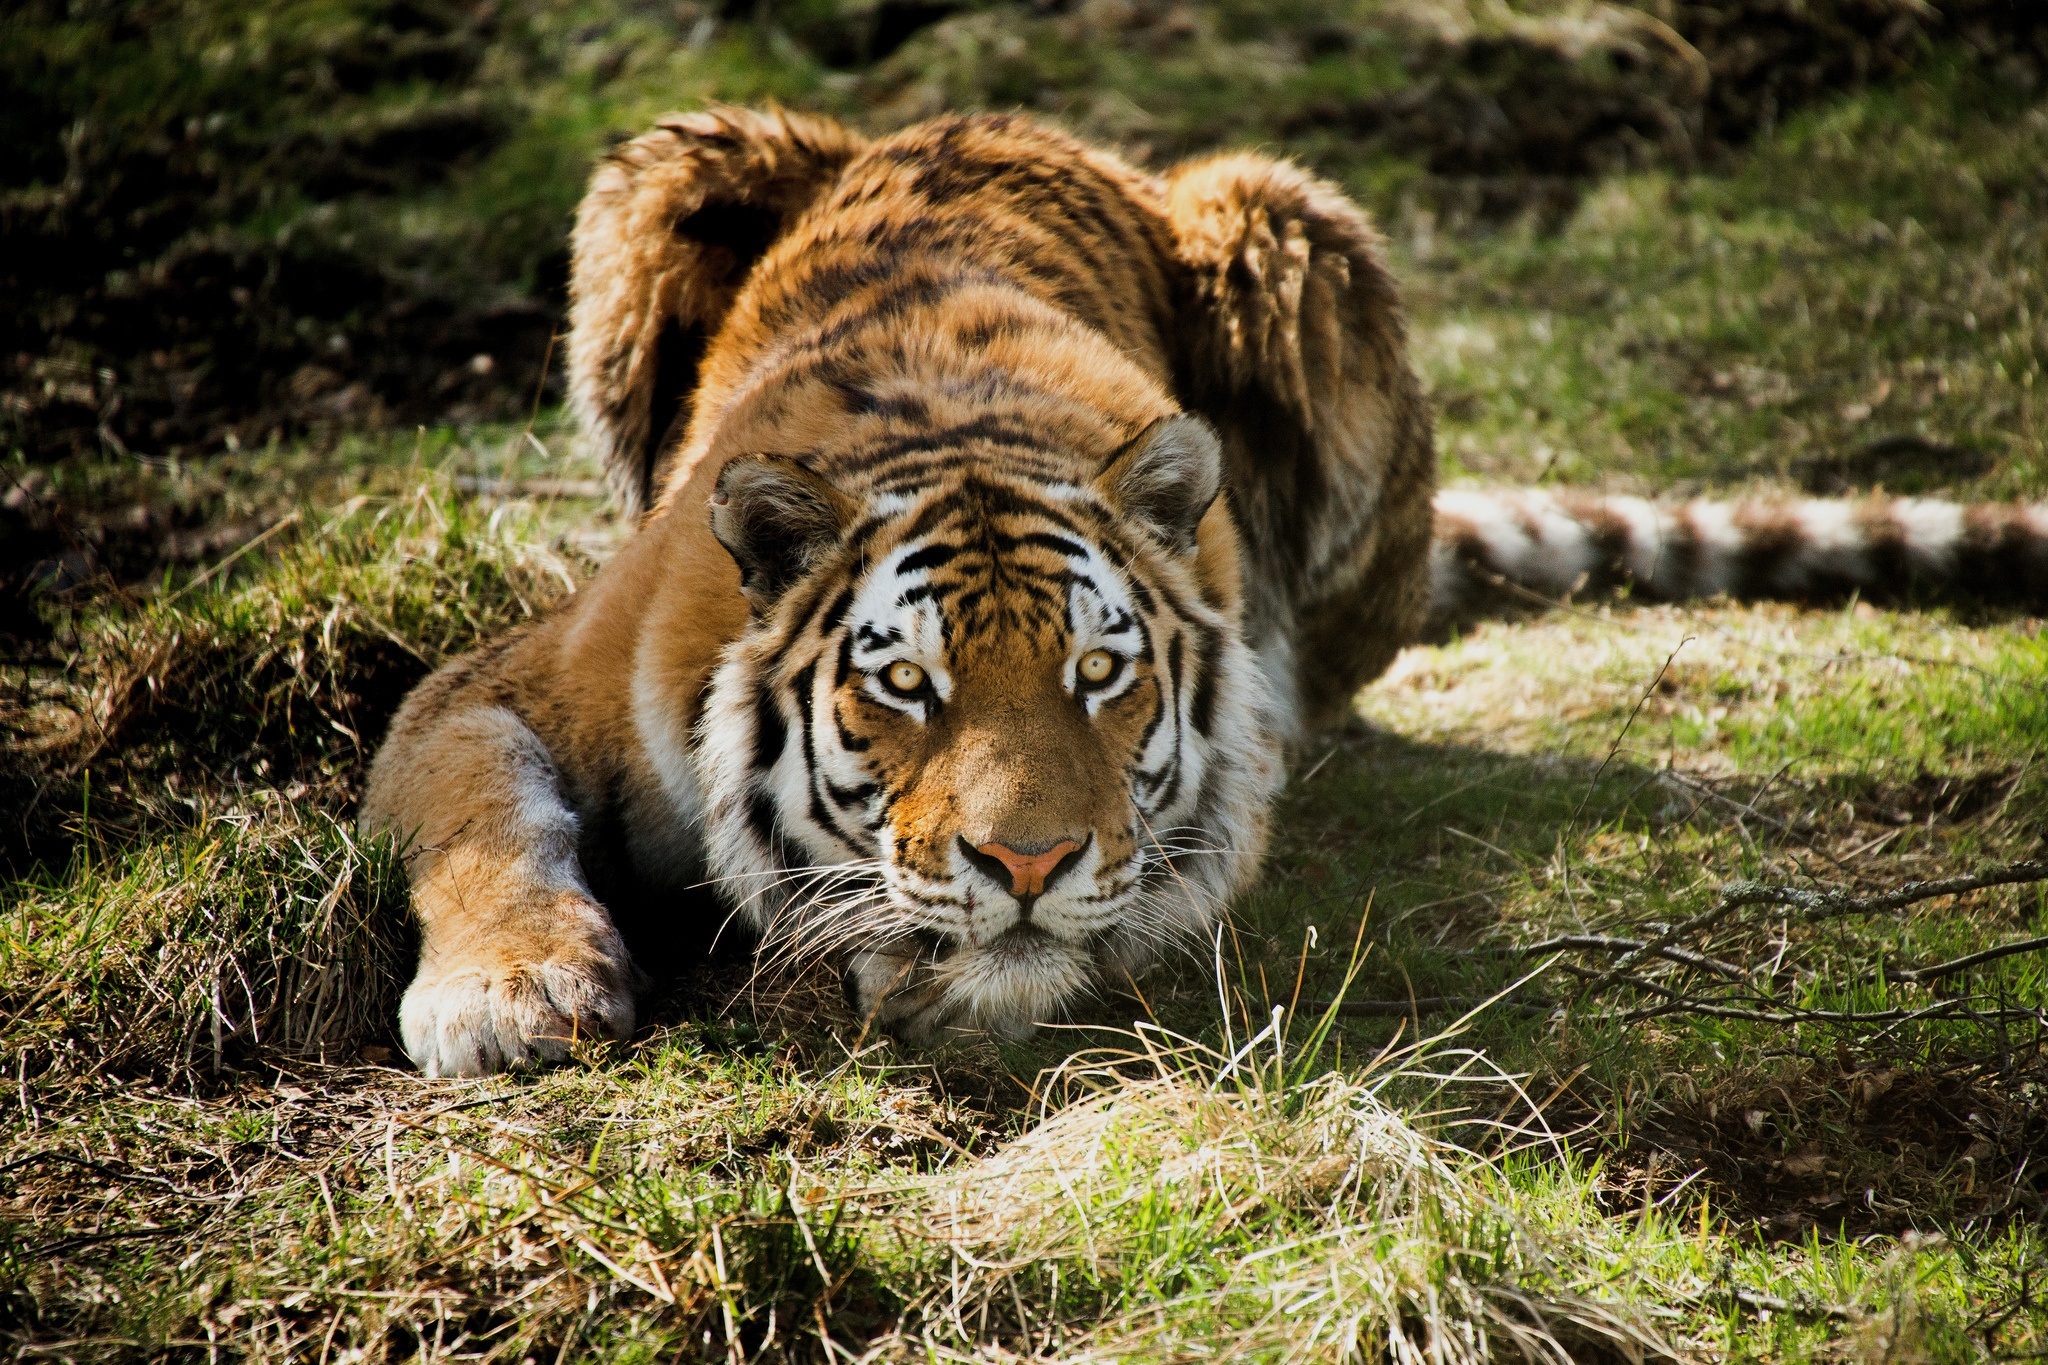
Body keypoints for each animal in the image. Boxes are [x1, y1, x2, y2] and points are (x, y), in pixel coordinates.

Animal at [368, 104, 2048, 1080]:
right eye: (903, 683)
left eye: (1099, 676)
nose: (1026, 862)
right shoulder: (499, 681)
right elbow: (487, 811)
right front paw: (511, 994)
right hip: (666, 165)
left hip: (1295, 230)